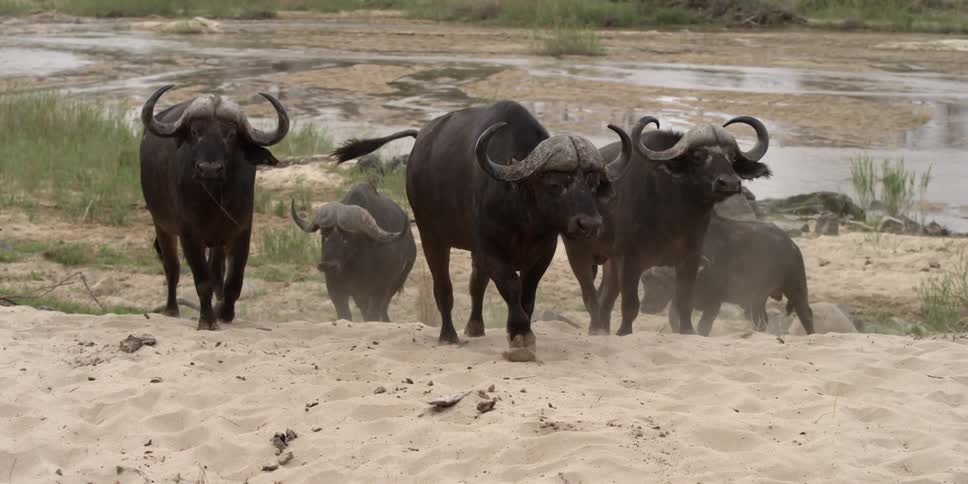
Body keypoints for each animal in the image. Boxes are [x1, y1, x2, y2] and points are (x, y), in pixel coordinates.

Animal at [140, 85, 289, 330]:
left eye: (230, 134)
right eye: (195, 131)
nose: (209, 169)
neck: (215, 199)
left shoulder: (241, 231)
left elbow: (234, 281)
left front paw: (224, 312)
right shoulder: (189, 235)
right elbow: (202, 281)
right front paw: (207, 320)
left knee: (217, 270)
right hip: (161, 225)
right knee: (172, 268)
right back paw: (171, 309)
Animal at [290, 182, 416, 322]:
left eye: (348, 237)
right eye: (324, 234)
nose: (327, 266)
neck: (357, 266)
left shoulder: (380, 289)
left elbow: (373, 314)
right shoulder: (335, 288)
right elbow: (344, 315)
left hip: (398, 282)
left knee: (383, 309)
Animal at [333, 101, 637, 361]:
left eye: (593, 182)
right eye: (555, 183)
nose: (589, 224)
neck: (521, 211)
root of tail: (421, 141)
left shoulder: (544, 252)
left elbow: (527, 294)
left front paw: (523, 331)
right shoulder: (490, 247)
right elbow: (510, 286)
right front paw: (520, 335)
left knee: (475, 283)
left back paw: (475, 327)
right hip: (432, 236)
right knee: (444, 288)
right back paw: (449, 335)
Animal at [564, 116, 773, 336]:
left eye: (732, 157)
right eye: (698, 156)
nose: (731, 183)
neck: (673, 214)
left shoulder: (690, 259)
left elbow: (684, 302)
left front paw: (688, 331)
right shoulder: (630, 261)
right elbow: (630, 305)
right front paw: (624, 332)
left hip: (610, 262)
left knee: (606, 298)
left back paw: (602, 330)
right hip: (578, 252)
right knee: (590, 295)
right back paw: (596, 329)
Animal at [639, 214, 815, 336]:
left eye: (662, 282)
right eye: (645, 280)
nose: (646, 307)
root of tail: (792, 245)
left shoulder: (715, 300)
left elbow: (704, 325)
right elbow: (675, 320)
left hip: (796, 286)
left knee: (805, 313)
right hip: (756, 300)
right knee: (761, 320)